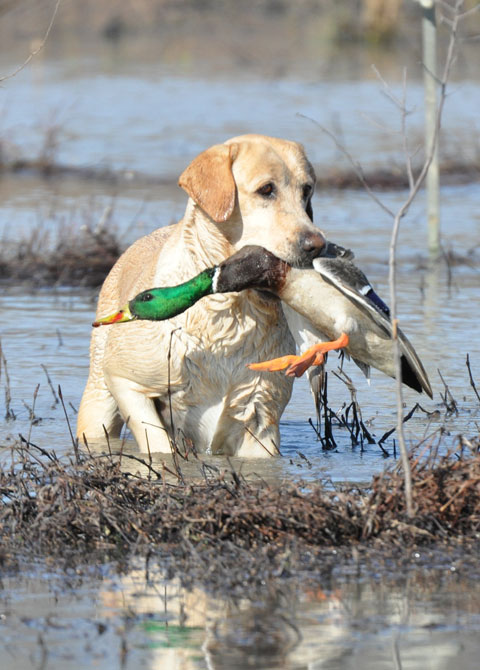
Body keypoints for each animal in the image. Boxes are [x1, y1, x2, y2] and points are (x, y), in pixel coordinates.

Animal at [78, 134, 326, 460]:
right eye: (266, 189)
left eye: (307, 190)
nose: (317, 245)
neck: (230, 312)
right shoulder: (126, 381)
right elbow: (159, 444)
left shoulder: (261, 411)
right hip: (98, 405)